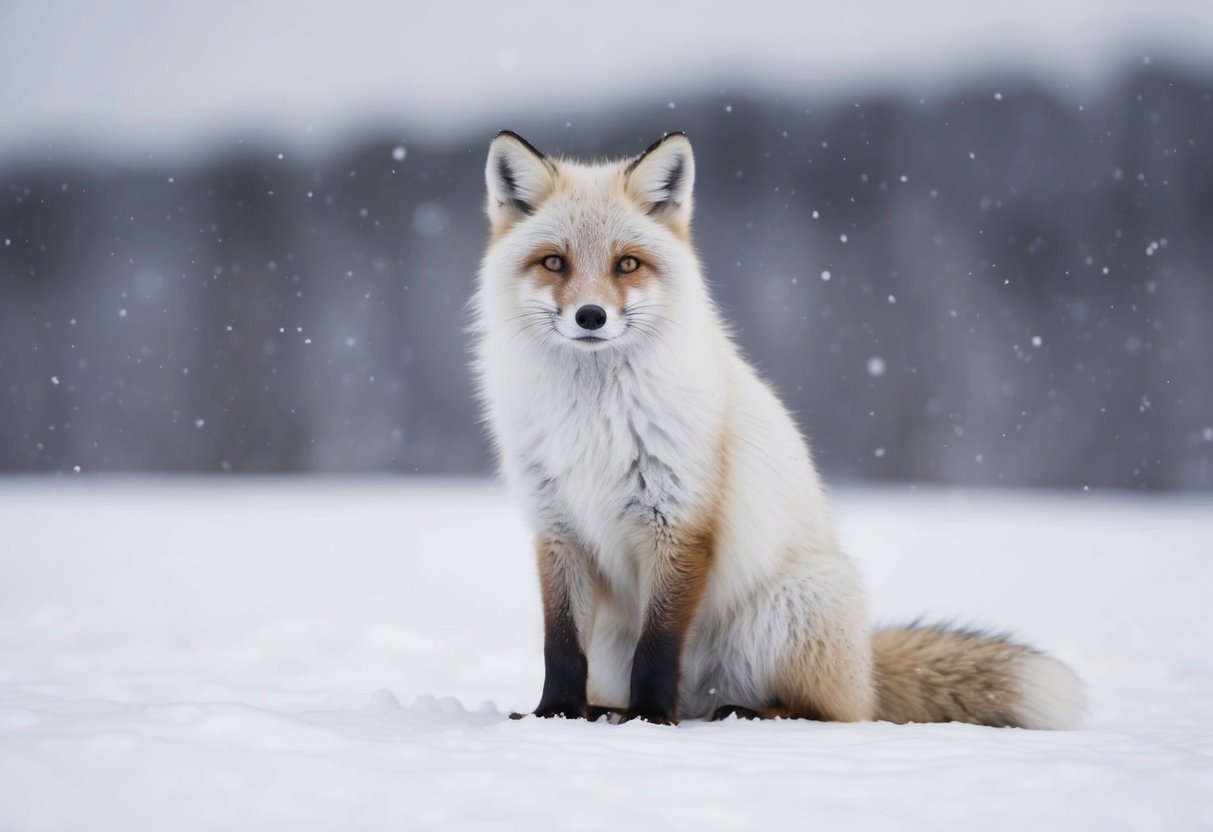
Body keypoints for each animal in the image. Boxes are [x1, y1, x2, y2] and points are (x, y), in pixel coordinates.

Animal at [471, 130, 1085, 728]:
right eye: (555, 263)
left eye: (627, 264)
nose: (591, 317)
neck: (591, 422)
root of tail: (867, 668)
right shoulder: (557, 529)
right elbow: (560, 646)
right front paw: (553, 716)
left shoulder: (679, 521)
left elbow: (659, 645)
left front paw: (651, 721)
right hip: (619, 640)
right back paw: (608, 710)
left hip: (796, 606)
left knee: (834, 712)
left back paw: (739, 713)